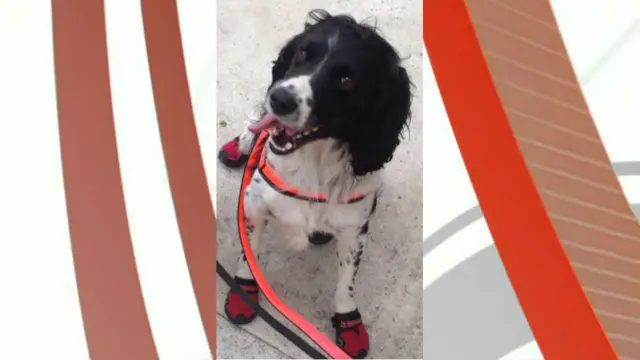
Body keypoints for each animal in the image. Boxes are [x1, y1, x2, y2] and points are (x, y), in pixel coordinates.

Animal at [224, 9, 410, 358]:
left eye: (346, 80)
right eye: (303, 53)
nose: (279, 98)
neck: (314, 162)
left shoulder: (354, 229)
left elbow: (346, 283)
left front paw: (348, 320)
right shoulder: (254, 205)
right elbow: (249, 254)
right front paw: (244, 290)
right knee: (253, 123)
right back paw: (239, 145)